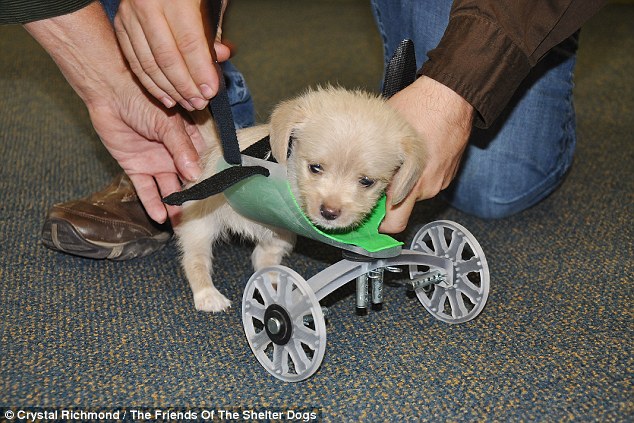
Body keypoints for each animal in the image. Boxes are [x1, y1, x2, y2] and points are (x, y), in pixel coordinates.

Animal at [175, 87, 428, 312]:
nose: (329, 212)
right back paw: (208, 295)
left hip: (281, 235)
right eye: (315, 168)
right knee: (195, 260)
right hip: (199, 226)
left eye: (366, 181)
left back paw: (275, 281)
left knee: (262, 258)